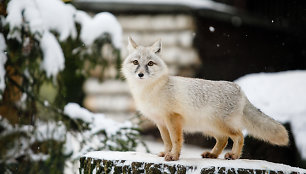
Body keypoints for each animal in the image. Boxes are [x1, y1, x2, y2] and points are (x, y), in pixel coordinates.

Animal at [120, 37, 288, 162]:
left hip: (220, 125)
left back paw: (233, 155)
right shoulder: (160, 122)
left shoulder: (173, 119)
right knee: (223, 140)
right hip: (210, 127)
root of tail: (239, 88)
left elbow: (176, 140)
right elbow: (167, 141)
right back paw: (212, 155)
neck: (151, 90)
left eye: (150, 63)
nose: (140, 74)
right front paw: (166, 153)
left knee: (239, 136)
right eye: (135, 62)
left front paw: (173, 156)